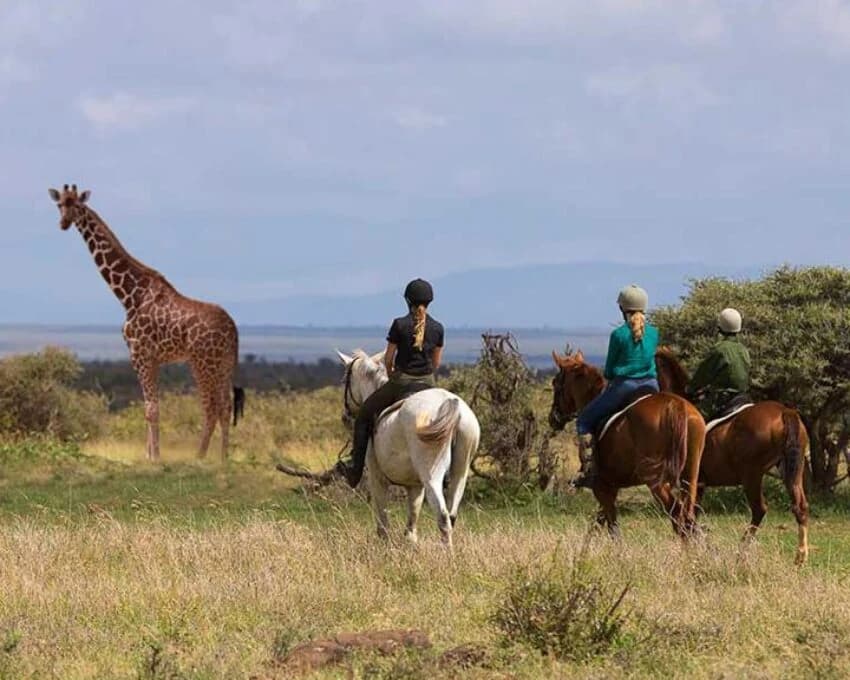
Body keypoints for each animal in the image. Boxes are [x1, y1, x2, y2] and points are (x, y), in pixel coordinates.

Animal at [49, 184, 245, 461]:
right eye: (59, 205)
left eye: (76, 206)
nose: (64, 223)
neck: (129, 295)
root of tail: (233, 328)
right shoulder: (153, 358)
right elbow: (150, 407)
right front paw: (148, 454)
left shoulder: (139, 353)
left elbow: (151, 408)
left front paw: (155, 457)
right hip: (224, 363)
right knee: (226, 406)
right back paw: (222, 458)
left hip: (202, 361)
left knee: (211, 406)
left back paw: (200, 456)